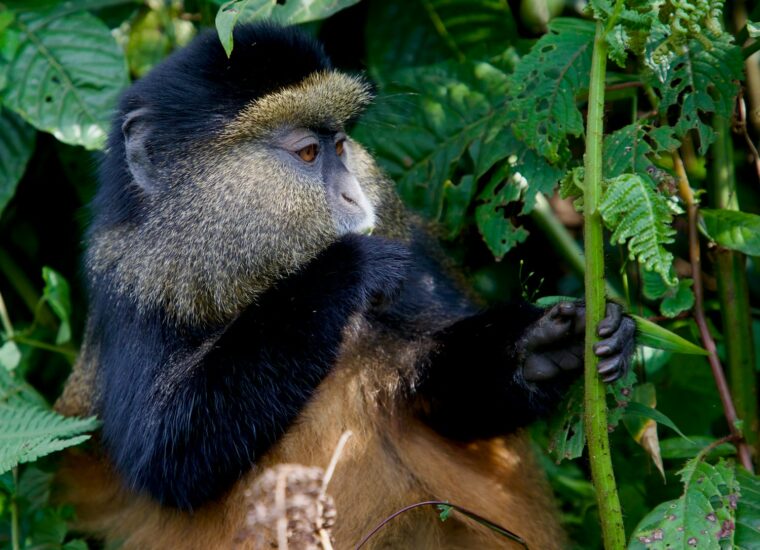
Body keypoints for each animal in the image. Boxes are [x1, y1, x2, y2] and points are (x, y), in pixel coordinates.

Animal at [54, 22, 636, 549]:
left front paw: (545, 346)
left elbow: (446, 404)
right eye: (309, 154)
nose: (356, 195)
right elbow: (165, 458)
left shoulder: (413, 254)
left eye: (341, 144)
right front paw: (346, 269)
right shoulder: (133, 291)